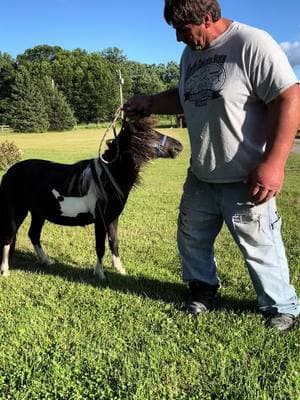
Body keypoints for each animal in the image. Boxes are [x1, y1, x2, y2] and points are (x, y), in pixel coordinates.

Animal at [0, 119, 183, 280]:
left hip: (38, 213)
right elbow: (100, 247)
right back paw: (5, 271)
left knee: (33, 235)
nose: (179, 146)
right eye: (149, 134)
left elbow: (114, 242)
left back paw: (46, 261)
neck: (107, 178)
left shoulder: (112, 218)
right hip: (17, 212)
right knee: (9, 237)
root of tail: (9, 172)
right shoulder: (100, 221)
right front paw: (100, 274)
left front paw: (120, 270)